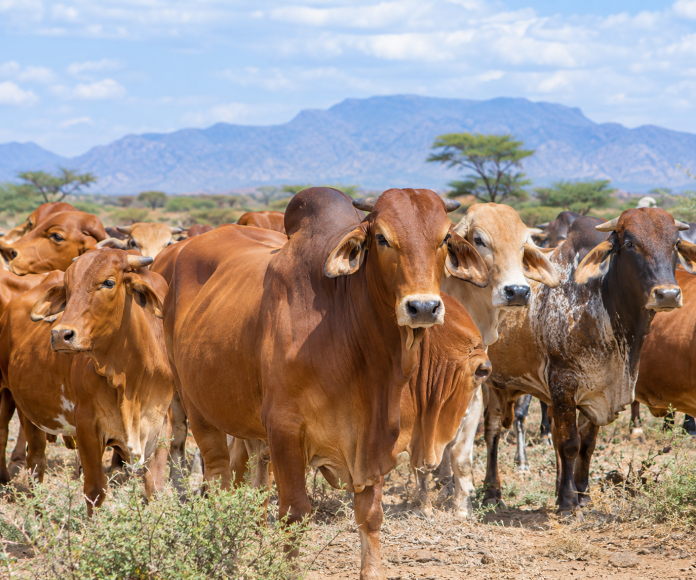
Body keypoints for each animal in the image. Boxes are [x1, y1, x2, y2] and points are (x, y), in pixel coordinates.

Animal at [0, 249, 173, 512]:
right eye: (67, 288)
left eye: (109, 282)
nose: (60, 335)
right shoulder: (87, 425)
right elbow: (95, 490)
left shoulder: (162, 423)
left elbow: (155, 489)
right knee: (32, 460)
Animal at [164, 187, 487, 579]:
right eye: (382, 238)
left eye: (443, 239)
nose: (423, 307)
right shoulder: (285, 428)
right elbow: (294, 511)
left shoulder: (374, 442)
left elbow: (370, 515)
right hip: (197, 408)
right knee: (218, 481)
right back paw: (225, 555)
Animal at [482, 209, 696, 517]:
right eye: (629, 244)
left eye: (676, 243)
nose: (667, 294)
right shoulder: (563, 384)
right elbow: (570, 444)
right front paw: (568, 503)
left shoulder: (597, 389)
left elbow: (587, 445)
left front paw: (581, 495)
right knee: (490, 430)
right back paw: (489, 492)